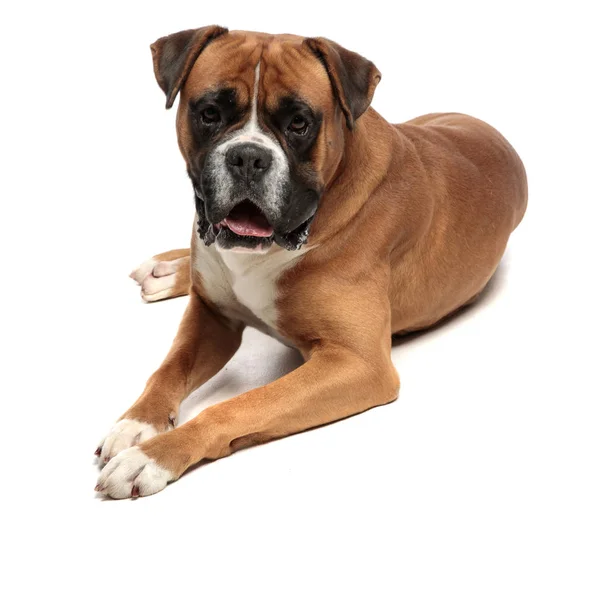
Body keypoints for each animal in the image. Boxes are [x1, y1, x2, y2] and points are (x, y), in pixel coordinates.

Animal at [94, 27, 524, 496]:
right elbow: (168, 370)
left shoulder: (356, 363)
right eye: (209, 113)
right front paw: (137, 423)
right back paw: (170, 267)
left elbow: (240, 405)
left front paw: (153, 456)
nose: (248, 156)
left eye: (299, 123)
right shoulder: (211, 316)